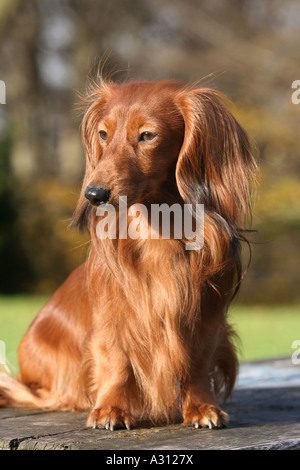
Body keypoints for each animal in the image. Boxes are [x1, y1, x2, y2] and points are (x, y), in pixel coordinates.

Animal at [0, 77, 256, 430]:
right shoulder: (114, 314)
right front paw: (110, 409)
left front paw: (202, 407)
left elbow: (196, 362)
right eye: (103, 134)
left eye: (147, 135)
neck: (158, 227)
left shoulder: (206, 312)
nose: (94, 194)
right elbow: (116, 360)